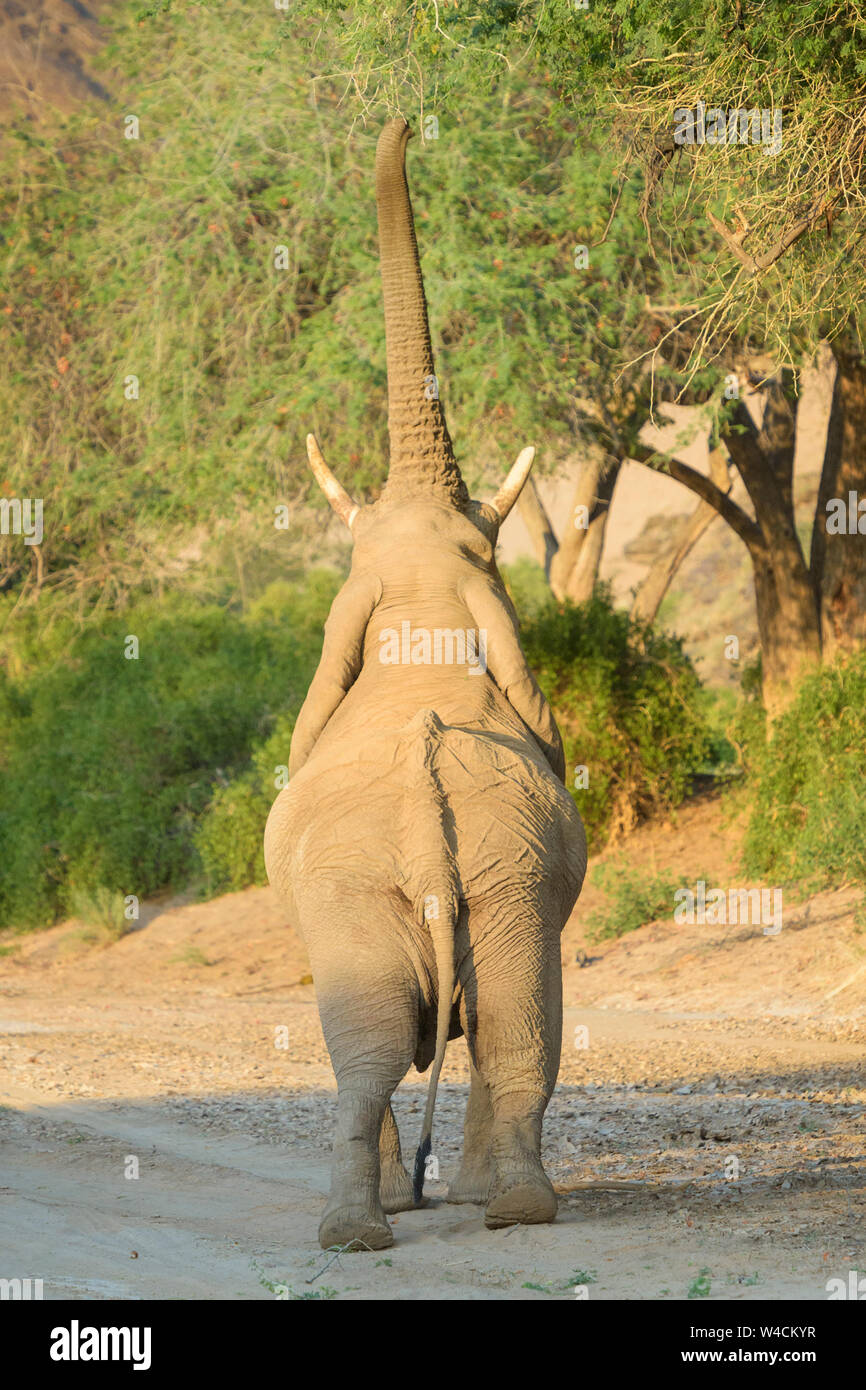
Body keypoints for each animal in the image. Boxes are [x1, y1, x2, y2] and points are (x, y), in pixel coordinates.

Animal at [265, 116, 589, 1251]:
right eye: (488, 554)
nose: (405, 122)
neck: (424, 609)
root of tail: (422, 820)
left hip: (417, 887)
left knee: (377, 1051)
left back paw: (367, 1230)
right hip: (497, 879)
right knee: (511, 1026)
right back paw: (502, 1212)